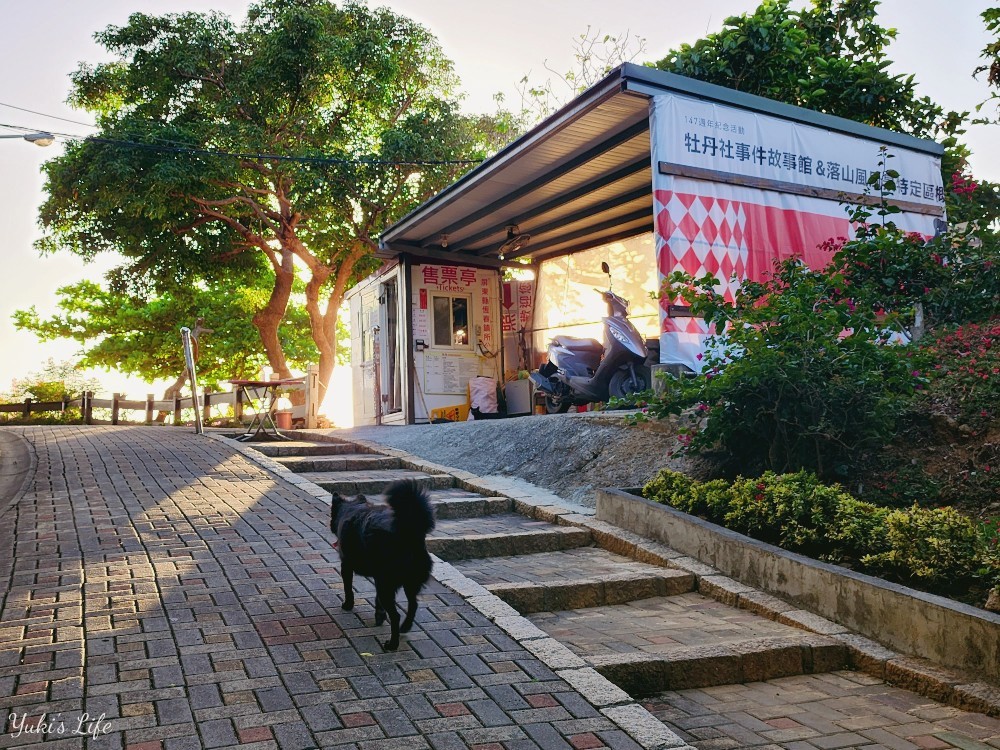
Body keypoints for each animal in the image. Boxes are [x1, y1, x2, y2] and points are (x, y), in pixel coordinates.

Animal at [330, 482, 436, 652]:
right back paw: (405, 627)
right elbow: (377, 600)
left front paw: (348, 605)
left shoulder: (346, 565)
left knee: (396, 615)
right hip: (407, 584)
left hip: (387, 584)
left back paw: (392, 644)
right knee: (413, 605)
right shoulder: (378, 577)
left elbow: (348, 588)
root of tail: (408, 534)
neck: (352, 508)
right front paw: (379, 616)